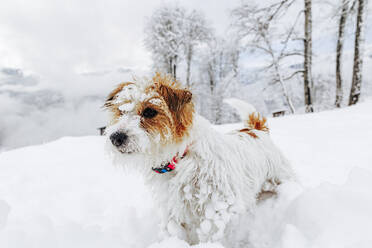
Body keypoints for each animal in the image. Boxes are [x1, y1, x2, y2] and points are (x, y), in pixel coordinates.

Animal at [104, 73, 294, 246]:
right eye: (121, 111)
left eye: (150, 111)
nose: (115, 137)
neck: (180, 159)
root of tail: (255, 130)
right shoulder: (173, 212)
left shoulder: (218, 209)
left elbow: (212, 234)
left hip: (281, 178)